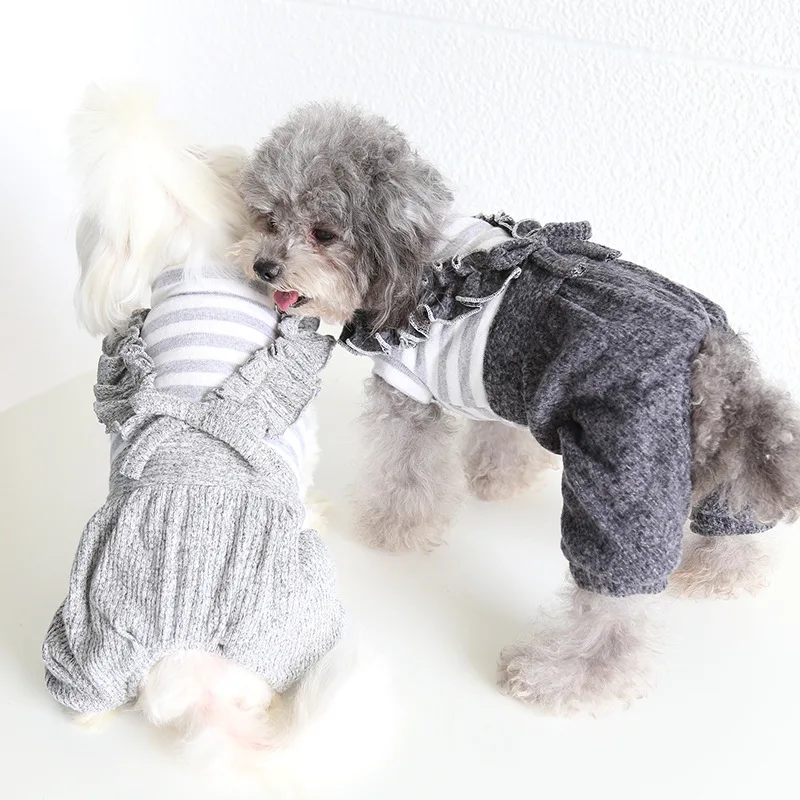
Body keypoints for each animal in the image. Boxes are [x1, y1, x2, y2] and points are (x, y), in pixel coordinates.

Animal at [43, 88, 394, 787]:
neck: (197, 263)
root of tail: (189, 666)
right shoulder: (302, 430)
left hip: (83, 636)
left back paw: (92, 720)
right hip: (306, 597)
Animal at [233, 101, 800, 715]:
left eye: (323, 233)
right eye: (268, 219)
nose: (264, 267)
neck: (421, 262)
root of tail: (707, 347)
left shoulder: (408, 392)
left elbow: (405, 474)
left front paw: (394, 532)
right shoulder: (505, 385)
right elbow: (500, 439)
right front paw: (498, 480)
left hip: (627, 470)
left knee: (613, 606)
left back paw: (564, 677)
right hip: (705, 441)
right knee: (735, 521)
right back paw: (721, 576)